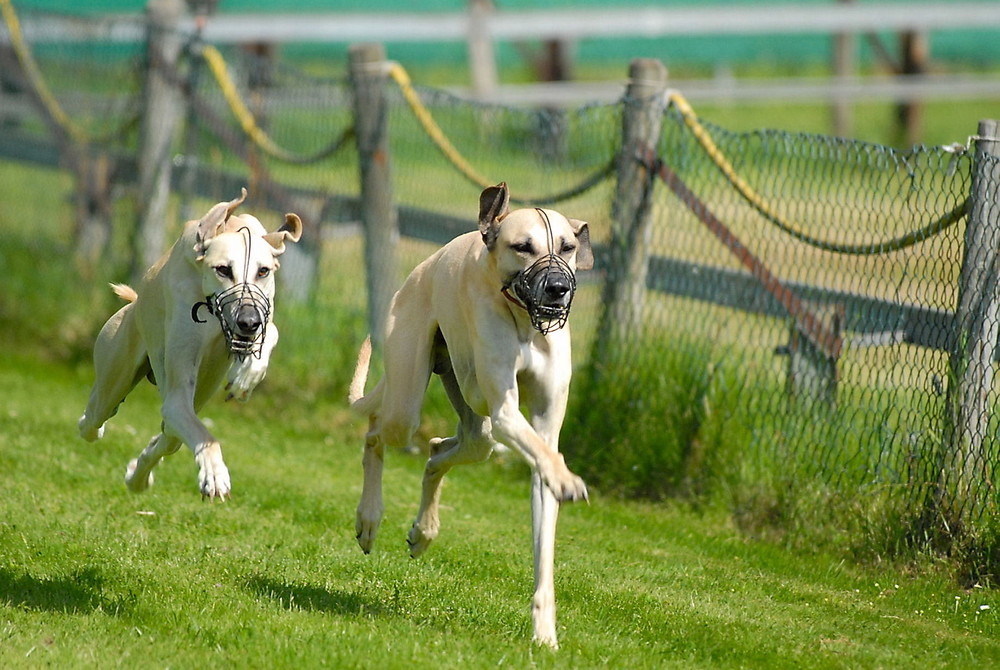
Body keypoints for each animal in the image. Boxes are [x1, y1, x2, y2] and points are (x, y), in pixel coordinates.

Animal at [79, 189, 300, 498]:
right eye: (223, 269)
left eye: (263, 271)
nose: (249, 322)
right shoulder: (178, 394)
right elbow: (205, 436)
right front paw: (215, 474)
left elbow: (273, 332)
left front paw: (246, 375)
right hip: (113, 377)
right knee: (94, 417)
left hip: (200, 392)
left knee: (169, 437)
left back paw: (138, 476)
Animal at [348, 181, 588, 648]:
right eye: (523, 247)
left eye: (568, 247)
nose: (557, 288)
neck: (525, 323)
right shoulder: (507, 411)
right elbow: (544, 454)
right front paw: (568, 478)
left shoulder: (541, 425)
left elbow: (545, 477)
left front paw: (545, 632)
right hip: (407, 396)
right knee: (377, 431)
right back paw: (369, 518)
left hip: (477, 431)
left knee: (440, 449)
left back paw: (424, 531)